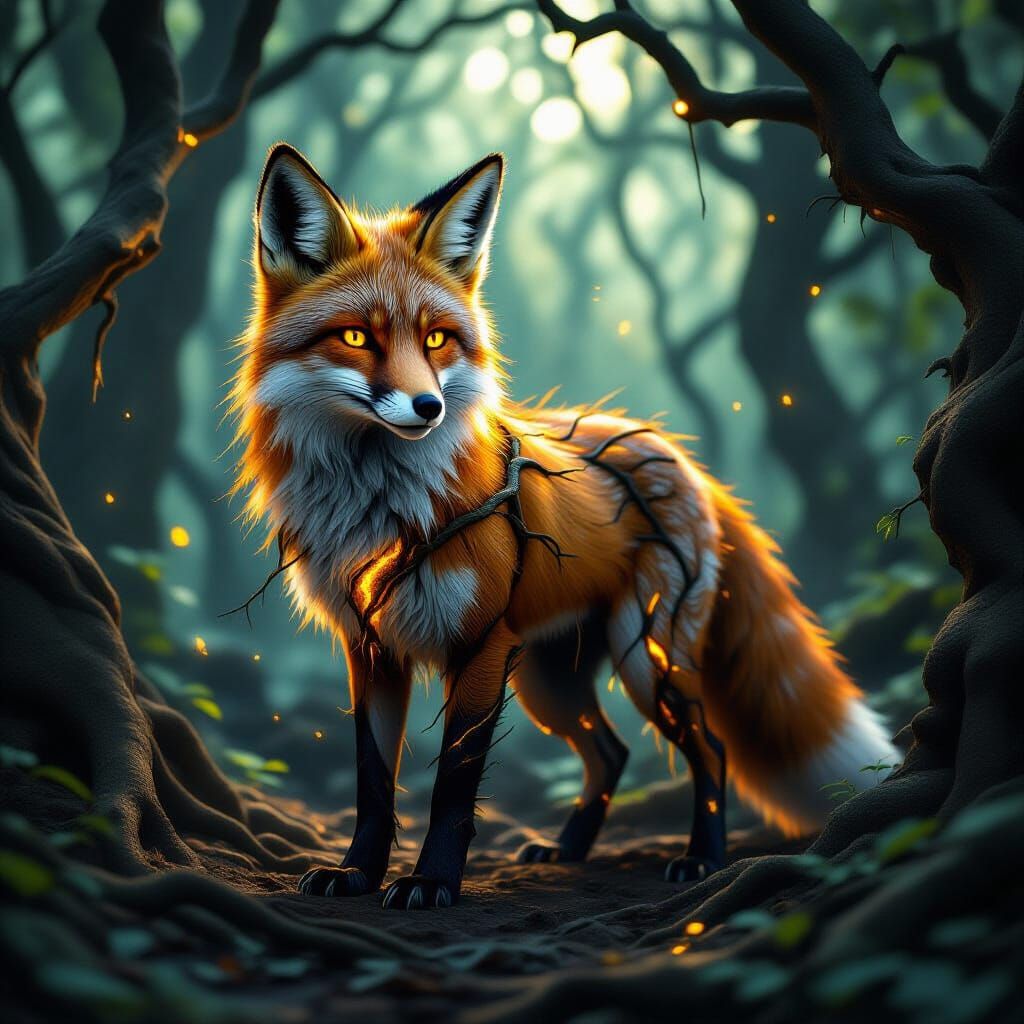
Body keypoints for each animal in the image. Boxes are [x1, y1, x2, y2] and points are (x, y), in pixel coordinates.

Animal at [229, 144, 899, 909]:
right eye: (355, 337)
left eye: (436, 339)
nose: (429, 407)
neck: (381, 507)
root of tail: (674, 452)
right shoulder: (370, 646)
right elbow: (374, 783)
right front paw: (357, 875)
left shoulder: (480, 644)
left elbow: (453, 786)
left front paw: (431, 882)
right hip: (551, 684)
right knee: (611, 752)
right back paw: (571, 849)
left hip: (645, 657)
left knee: (709, 746)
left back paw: (701, 858)